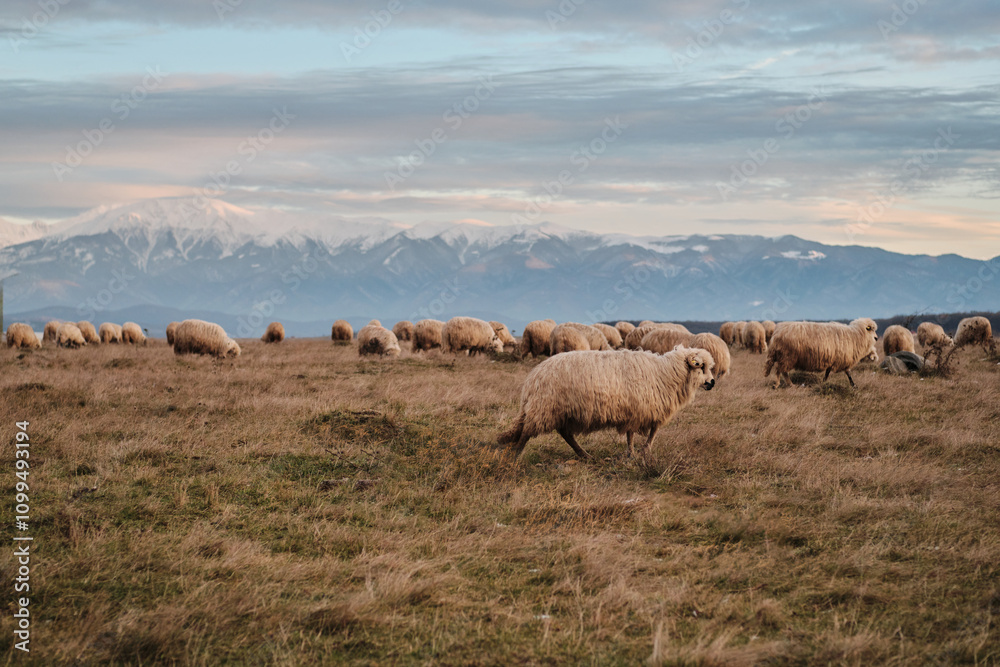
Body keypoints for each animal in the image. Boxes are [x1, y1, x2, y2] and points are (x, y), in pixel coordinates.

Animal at [498, 347, 716, 459]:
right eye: (701, 366)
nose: (712, 382)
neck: (666, 373)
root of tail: (533, 377)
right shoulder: (638, 410)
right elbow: (634, 435)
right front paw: (634, 453)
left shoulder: (649, 409)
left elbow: (653, 431)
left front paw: (644, 450)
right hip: (545, 407)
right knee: (527, 431)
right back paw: (516, 455)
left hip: (562, 411)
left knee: (565, 433)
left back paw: (584, 454)